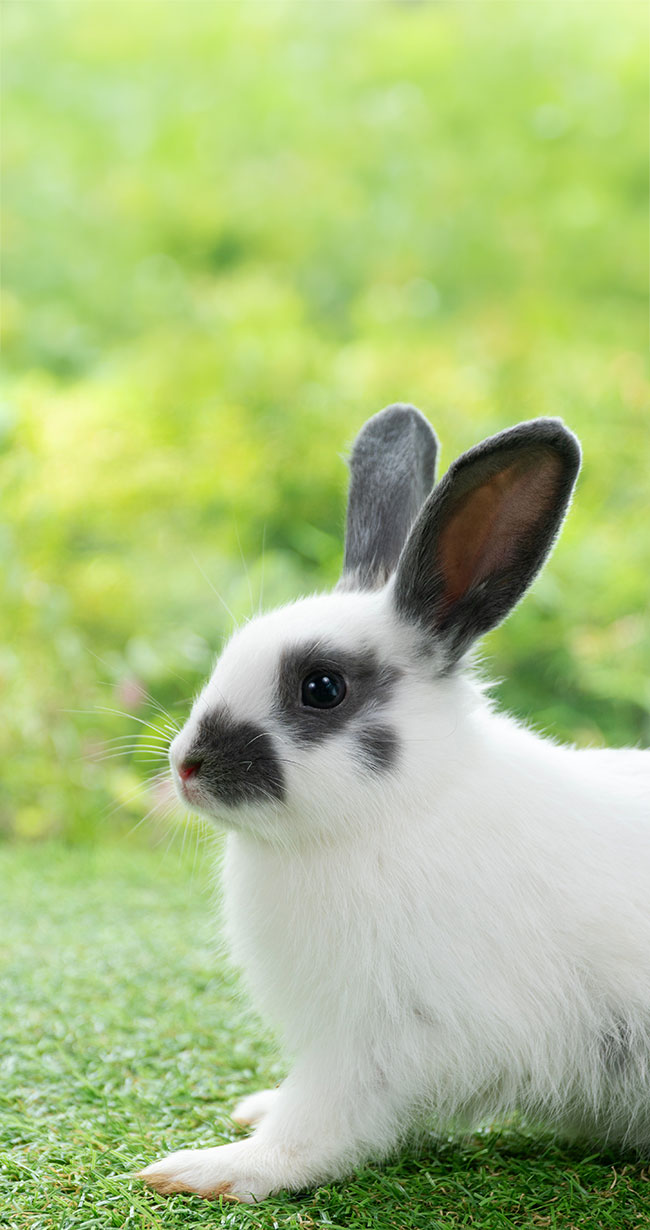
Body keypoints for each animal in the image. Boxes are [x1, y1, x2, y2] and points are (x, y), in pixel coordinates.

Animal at [138, 404, 650, 1203]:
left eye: (321, 688)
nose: (186, 766)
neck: (401, 810)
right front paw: (255, 1109)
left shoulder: (380, 1041)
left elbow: (321, 1126)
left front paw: (213, 1169)